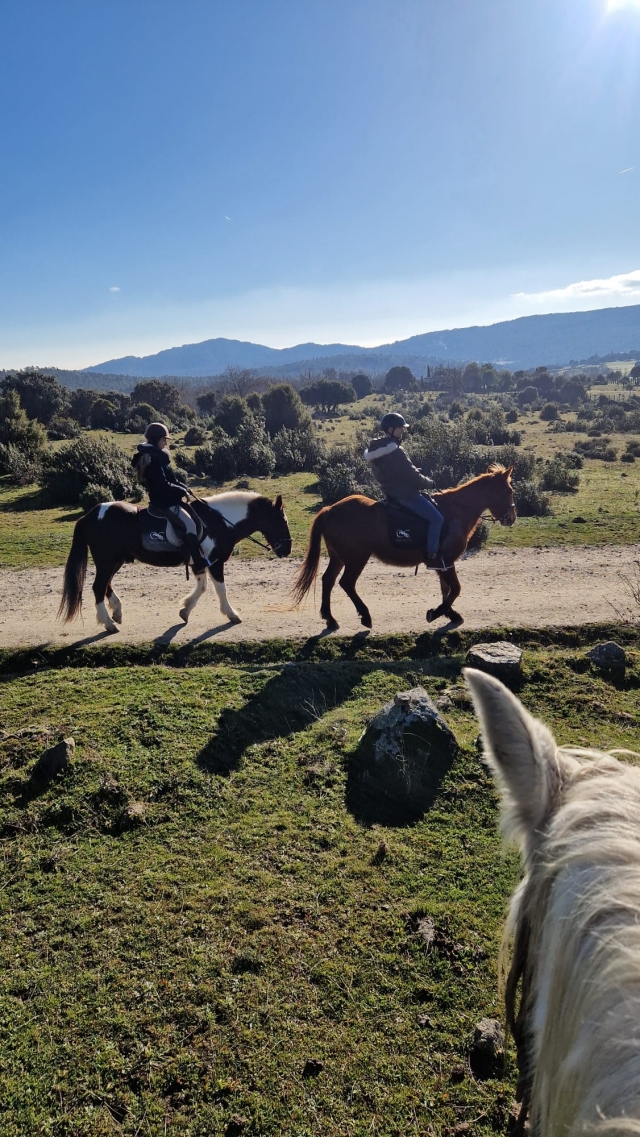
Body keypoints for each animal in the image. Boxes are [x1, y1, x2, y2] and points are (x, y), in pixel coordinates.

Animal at [58, 491, 292, 633]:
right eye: (282, 520)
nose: (287, 549)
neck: (219, 521)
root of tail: (90, 515)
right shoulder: (215, 563)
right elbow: (221, 589)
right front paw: (231, 614)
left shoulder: (199, 562)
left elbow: (202, 588)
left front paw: (185, 611)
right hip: (108, 561)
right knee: (99, 587)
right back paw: (108, 623)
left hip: (114, 561)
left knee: (105, 585)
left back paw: (116, 612)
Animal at [292, 464, 516, 630]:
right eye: (508, 491)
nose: (512, 518)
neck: (456, 511)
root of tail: (331, 509)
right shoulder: (446, 561)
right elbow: (455, 589)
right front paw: (437, 612)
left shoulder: (442, 563)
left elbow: (446, 589)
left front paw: (449, 614)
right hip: (356, 559)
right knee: (346, 583)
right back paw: (365, 616)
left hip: (339, 557)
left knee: (328, 581)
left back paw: (330, 618)